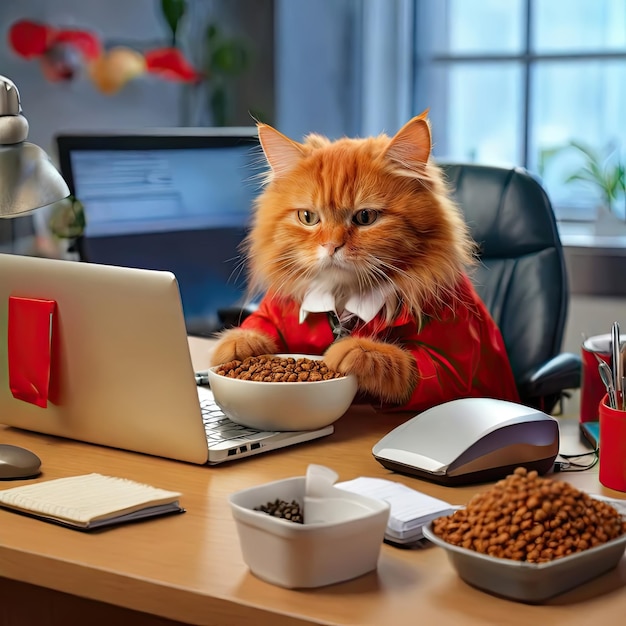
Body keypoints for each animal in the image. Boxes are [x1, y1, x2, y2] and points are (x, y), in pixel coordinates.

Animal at [210, 112, 516, 412]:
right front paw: (238, 346)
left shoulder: (454, 366)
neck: (344, 295)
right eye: (308, 217)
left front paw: (353, 350)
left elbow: (402, 364)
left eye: (365, 217)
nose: (331, 246)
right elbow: (255, 327)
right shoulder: (272, 313)